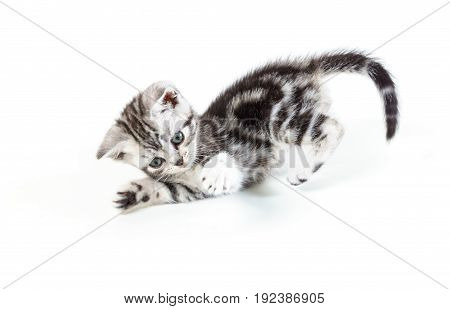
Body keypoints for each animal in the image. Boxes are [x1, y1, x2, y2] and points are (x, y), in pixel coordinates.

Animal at [97, 50, 398, 211]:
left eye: (178, 137)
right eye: (157, 161)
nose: (179, 160)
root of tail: (304, 67)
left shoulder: (240, 146)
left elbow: (226, 162)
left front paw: (217, 172)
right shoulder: (188, 189)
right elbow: (166, 189)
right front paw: (135, 192)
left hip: (278, 117)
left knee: (332, 127)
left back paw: (304, 169)